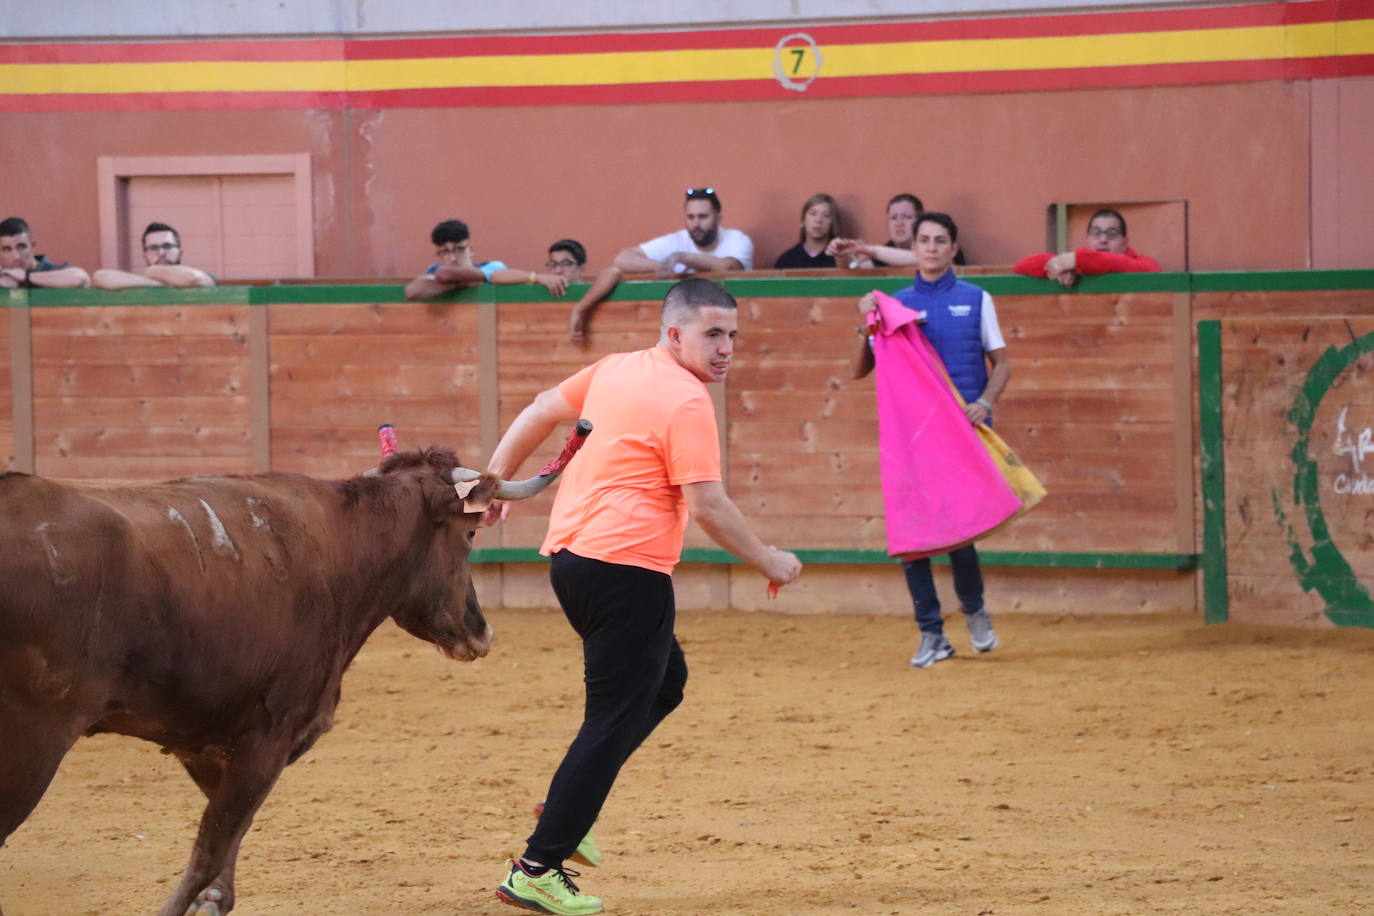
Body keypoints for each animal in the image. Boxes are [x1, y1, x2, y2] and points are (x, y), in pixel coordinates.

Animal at [0, 439, 563, 911]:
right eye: (469, 534)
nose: (481, 632)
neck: (343, 549)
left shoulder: (206, 743)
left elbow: (225, 839)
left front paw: (216, 900)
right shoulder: (266, 740)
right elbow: (211, 847)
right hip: (32, 746)